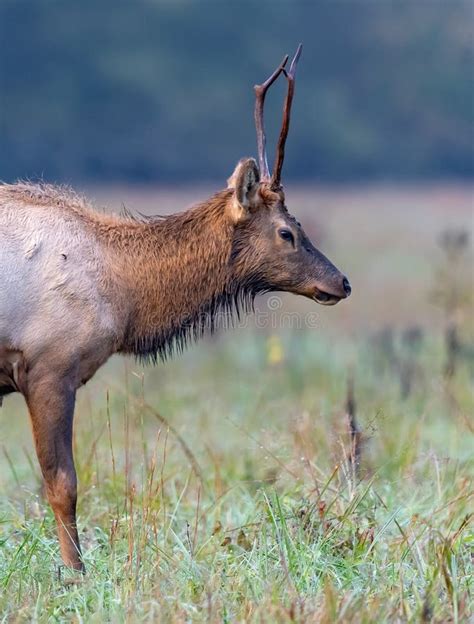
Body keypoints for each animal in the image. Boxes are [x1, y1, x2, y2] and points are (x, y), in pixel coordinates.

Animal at [0, 45, 352, 572]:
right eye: (287, 232)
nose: (341, 282)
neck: (126, 294)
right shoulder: (48, 367)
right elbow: (63, 485)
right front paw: (76, 573)